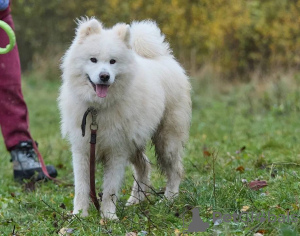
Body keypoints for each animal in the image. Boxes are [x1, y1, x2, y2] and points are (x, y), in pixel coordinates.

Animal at [58, 17, 192, 219]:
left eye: (113, 61)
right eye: (93, 59)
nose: (104, 76)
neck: (98, 109)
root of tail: (164, 58)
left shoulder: (117, 151)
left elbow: (110, 189)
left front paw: (108, 216)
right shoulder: (83, 150)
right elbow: (81, 187)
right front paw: (79, 215)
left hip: (166, 140)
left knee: (175, 170)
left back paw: (168, 199)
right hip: (136, 142)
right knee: (144, 167)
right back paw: (135, 201)